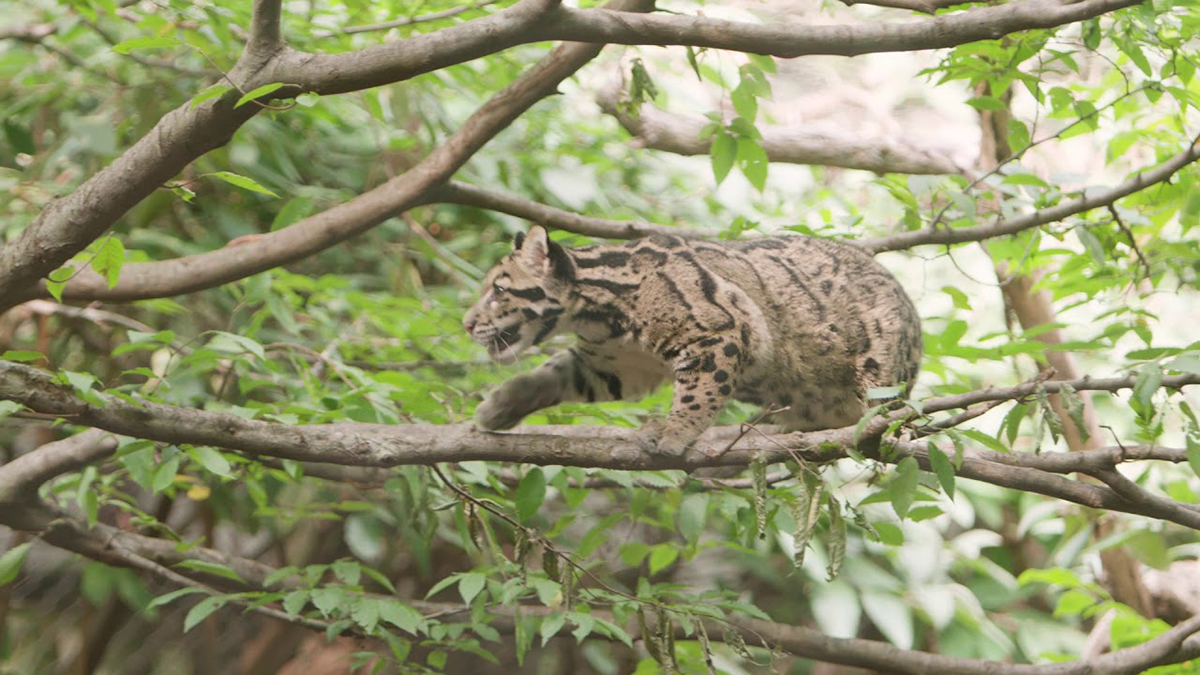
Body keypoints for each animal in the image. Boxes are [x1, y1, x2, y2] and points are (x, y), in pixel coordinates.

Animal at [463, 227, 921, 456]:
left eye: (499, 290)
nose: (466, 324)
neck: (598, 316)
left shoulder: (725, 329)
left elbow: (699, 392)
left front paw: (674, 430)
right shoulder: (614, 367)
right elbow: (552, 373)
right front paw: (502, 404)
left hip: (879, 376)